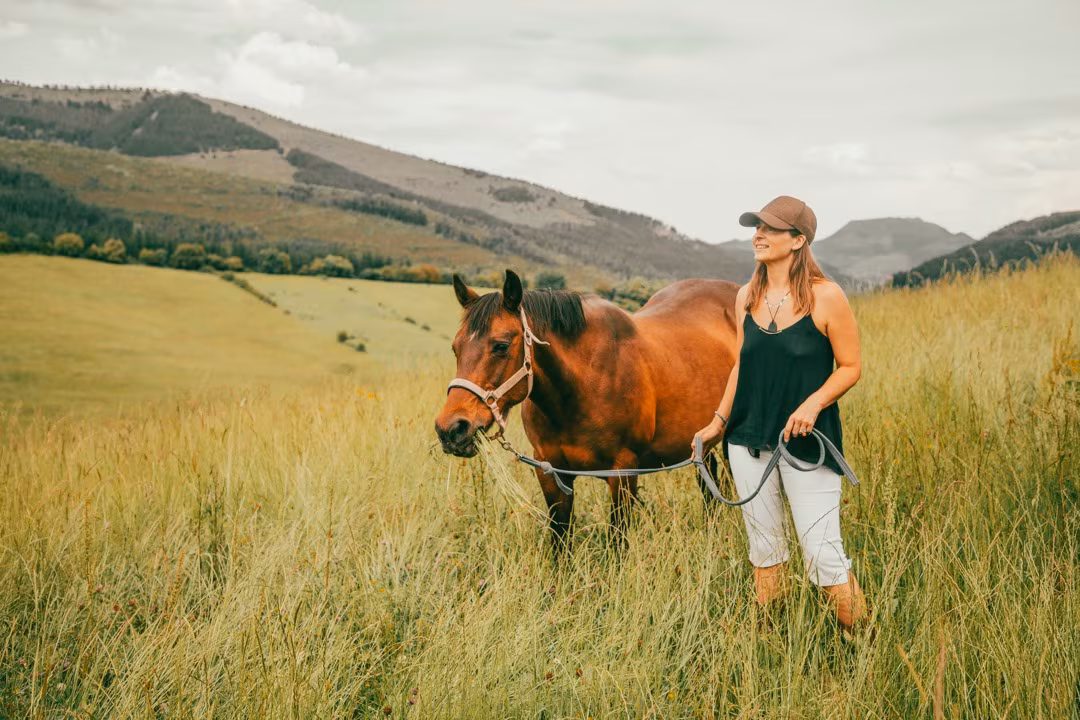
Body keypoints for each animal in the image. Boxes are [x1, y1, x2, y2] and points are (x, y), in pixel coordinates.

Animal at [434, 270, 739, 551]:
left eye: (501, 346)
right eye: (455, 348)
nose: (450, 429)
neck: (584, 384)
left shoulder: (623, 472)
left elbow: (618, 541)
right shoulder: (550, 471)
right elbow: (560, 540)